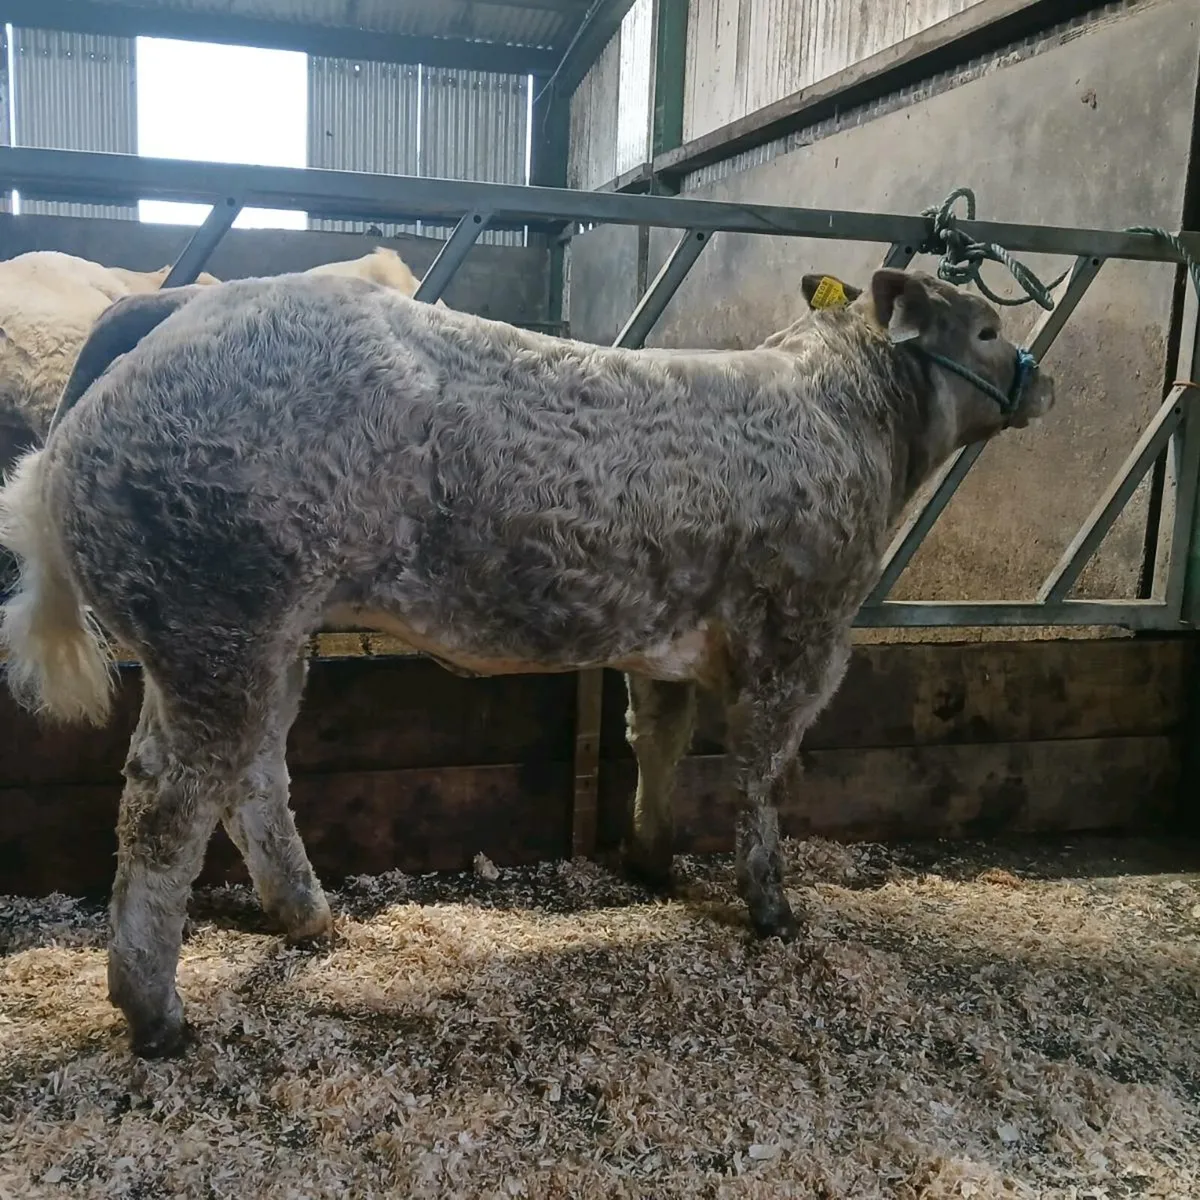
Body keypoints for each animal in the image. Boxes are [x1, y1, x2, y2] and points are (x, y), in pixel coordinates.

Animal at [0, 266, 1054, 1057]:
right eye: (989, 326)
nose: (1043, 380)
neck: (849, 417)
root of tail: (179, 313)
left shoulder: (665, 634)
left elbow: (658, 737)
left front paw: (650, 859)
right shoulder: (804, 626)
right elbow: (760, 772)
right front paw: (771, 907)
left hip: (254, 638)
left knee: (251, 775)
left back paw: (309, 915)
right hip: (218, 620)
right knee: (164, 808)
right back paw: (157, 1014)